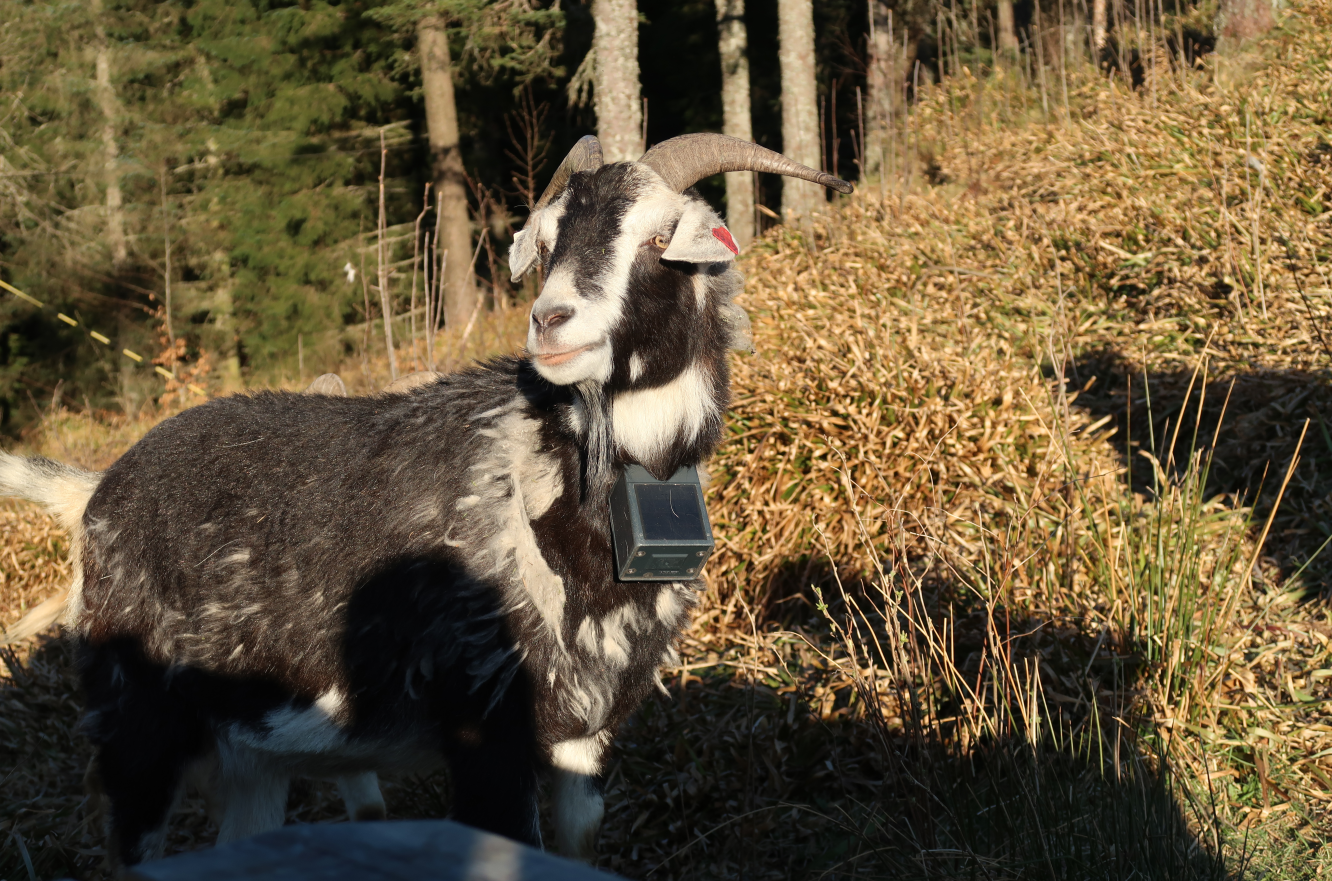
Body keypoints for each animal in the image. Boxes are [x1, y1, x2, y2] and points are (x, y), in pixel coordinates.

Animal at [0, 133, 852, 863]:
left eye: (658, 238)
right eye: (546, 243)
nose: (550, 321)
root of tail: (93, 492)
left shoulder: (583, 725)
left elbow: (577, 839)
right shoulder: (483, 719)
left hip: (253, 753)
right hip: (135, 725)